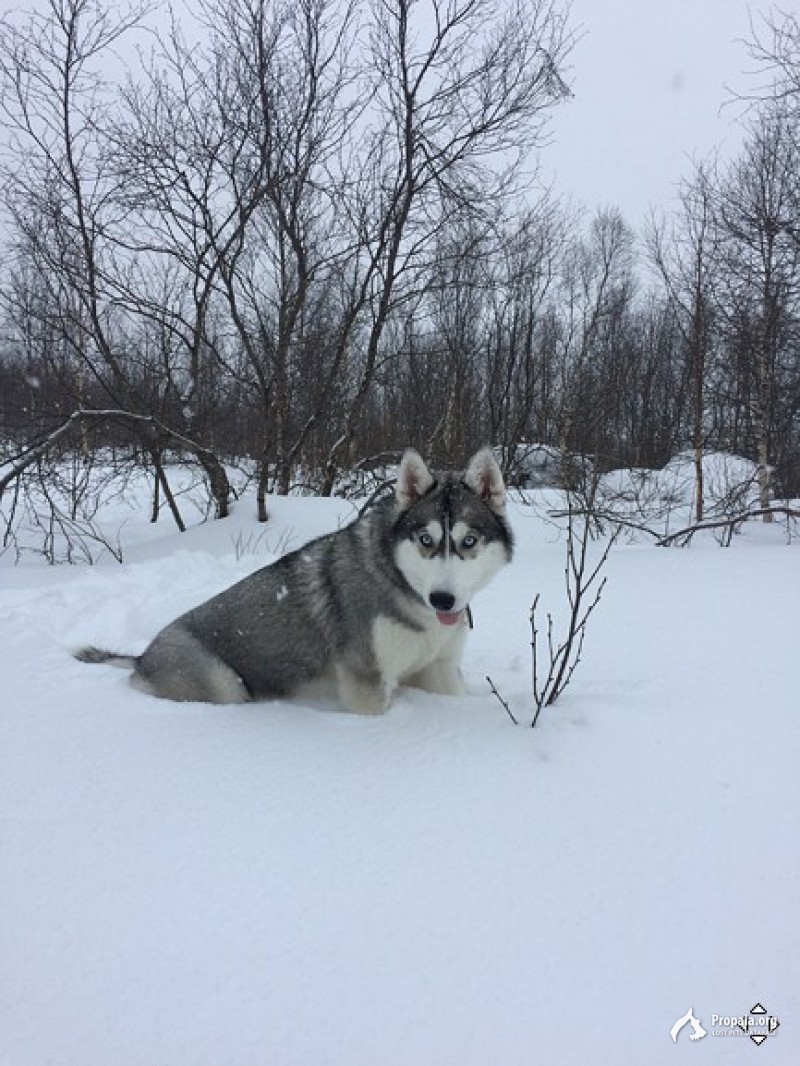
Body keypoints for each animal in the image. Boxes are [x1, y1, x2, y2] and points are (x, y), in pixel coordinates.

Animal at [75, 445, 514, 712]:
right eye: (426, 540)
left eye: (469, 541)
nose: (443, 600)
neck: (404, 588)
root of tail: (143, 656)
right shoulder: (367, 683)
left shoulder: (439, 668)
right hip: (224, 684)